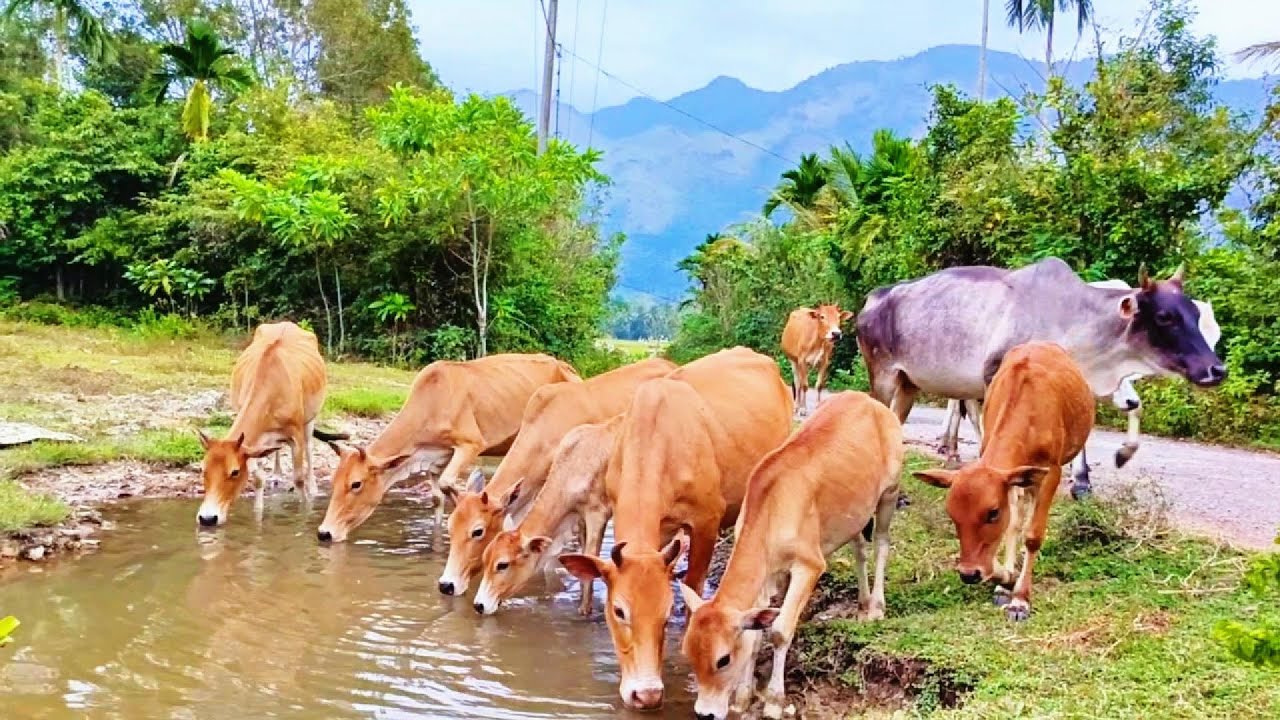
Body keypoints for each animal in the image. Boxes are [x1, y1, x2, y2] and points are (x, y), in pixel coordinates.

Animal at [196, 321, 348, 527]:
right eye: (203, 469)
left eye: (235, 472)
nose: (208, 518)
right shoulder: (254, 441)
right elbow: (258, 478)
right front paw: (258, 513)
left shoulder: (296, 435)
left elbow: (298, 479)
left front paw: (304, 512)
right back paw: (276, 474)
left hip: (310, 418)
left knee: (309, 448)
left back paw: (313, 487)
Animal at [316, 354, 581, 543]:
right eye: (333, 481)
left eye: (356, 484)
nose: (324, 533)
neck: (432, 401)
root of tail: (568, 368)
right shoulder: (436, 457)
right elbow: (436, 497)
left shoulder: (470, 445)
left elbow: (448, 485)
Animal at [471, 416, 619, 616]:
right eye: (485, 558)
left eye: (502, 564)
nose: (479, 605)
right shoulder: (580, 517)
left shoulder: (597, 514)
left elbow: (590, 556)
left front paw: (584, 610)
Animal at [680, 391, 903, 720]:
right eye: (688, 654)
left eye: (723, 659)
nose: (704, 714)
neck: (771, 508)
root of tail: (871, 401)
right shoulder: (765, 576)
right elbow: (755, 635)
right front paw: (742, 698)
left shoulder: (809, 565)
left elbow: (780, 631)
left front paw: (773, 702)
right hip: (854, 511)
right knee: (860, 548)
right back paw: (862, 603)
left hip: (890, 492)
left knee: (882, 543)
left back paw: (876, 606)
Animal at [915, 342, 1094, 622]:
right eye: (952, 515)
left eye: (992, 513)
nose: (969, 573)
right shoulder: (1010, 477)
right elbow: (1012, 526)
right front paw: (1005, 580)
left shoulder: (1049, 472)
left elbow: (1033, 535)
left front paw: (1020, 599)